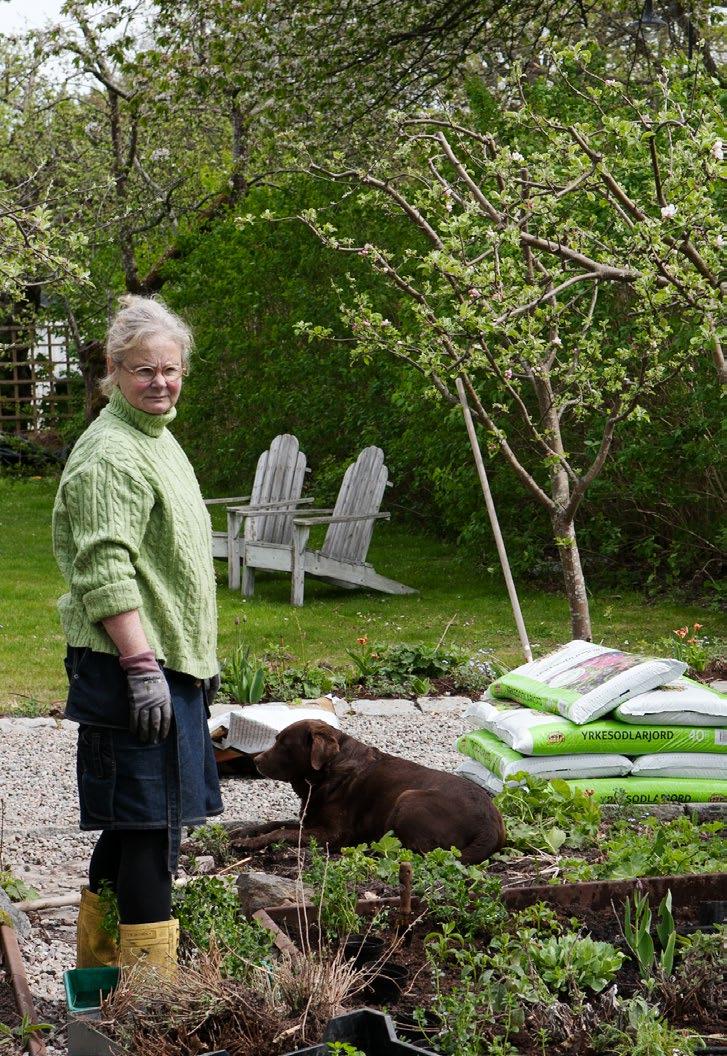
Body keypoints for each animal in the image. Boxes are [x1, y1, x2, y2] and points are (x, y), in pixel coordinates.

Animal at [234, 718, 505, 865]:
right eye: (276, 740)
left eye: (284, 745)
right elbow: (273, 824)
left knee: (417, 850)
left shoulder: (332, 833)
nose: (256, 761)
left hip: (408, 797)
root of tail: (489, 827)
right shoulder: (308, 820)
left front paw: (248, 843)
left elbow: (281, 832)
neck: (326, 773)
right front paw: (241, 832)